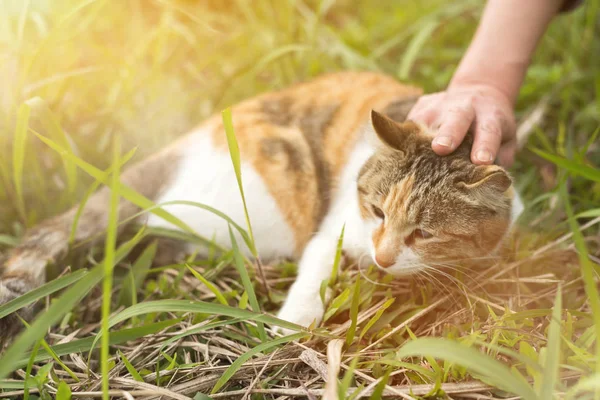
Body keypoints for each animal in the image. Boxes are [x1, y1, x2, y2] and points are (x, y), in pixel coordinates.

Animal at [0, 72, 524, 338]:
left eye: (424, 233)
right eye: (376, 211)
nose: (382, 257)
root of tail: (182, 144)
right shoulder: (335, 228)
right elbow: (317, 267)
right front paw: (294, 321)